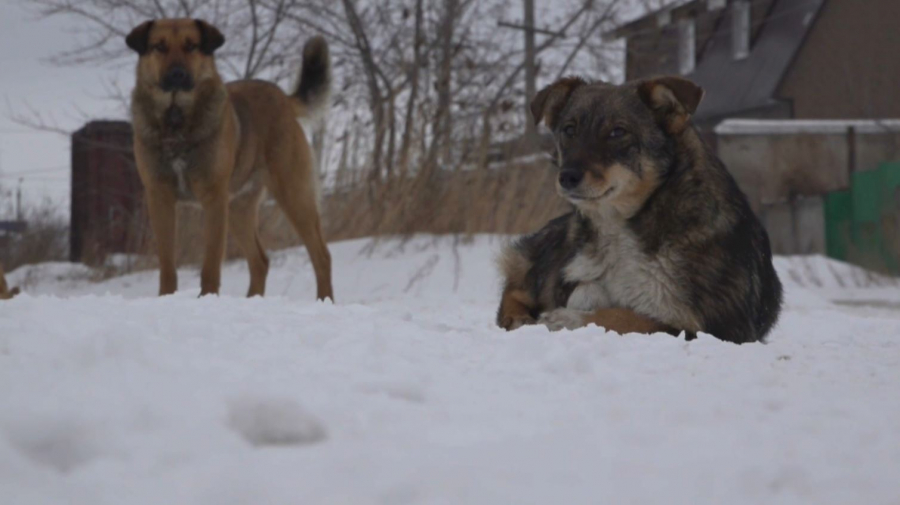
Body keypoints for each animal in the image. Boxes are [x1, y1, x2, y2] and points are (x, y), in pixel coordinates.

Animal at [127, 18, 334, 300]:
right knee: (260, 261)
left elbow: (211, 263)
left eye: (191, 46)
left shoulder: (214, 198)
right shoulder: (159, 197)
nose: (177, 75)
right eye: (159, 47)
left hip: (294, 195)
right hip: (239, 207)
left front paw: (207, 299)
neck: (177, 118)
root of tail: (282, 98)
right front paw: (166, 298)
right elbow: (167, 264)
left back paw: (325, 301)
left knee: (321, 256)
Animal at [496, 74, 784, 342]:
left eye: (617, 132)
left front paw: (569, 318)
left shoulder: (714, 330)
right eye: (569, 130)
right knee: (516, 288)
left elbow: (629, 319)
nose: (566, 177)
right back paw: (518, 318)